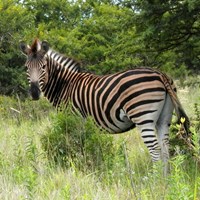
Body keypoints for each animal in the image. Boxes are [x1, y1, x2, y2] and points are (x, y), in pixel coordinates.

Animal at [19, 38, 189, 174]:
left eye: (43, 67)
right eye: (26, 67)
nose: (34, 93)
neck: (65, 84)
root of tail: (160, 74)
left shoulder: (76, 119)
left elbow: (78, 147)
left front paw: (82, 169)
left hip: (143, 116)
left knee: (155, 150)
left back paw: (155, 182)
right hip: (163, 119)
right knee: (165, 149)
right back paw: (166, 181)